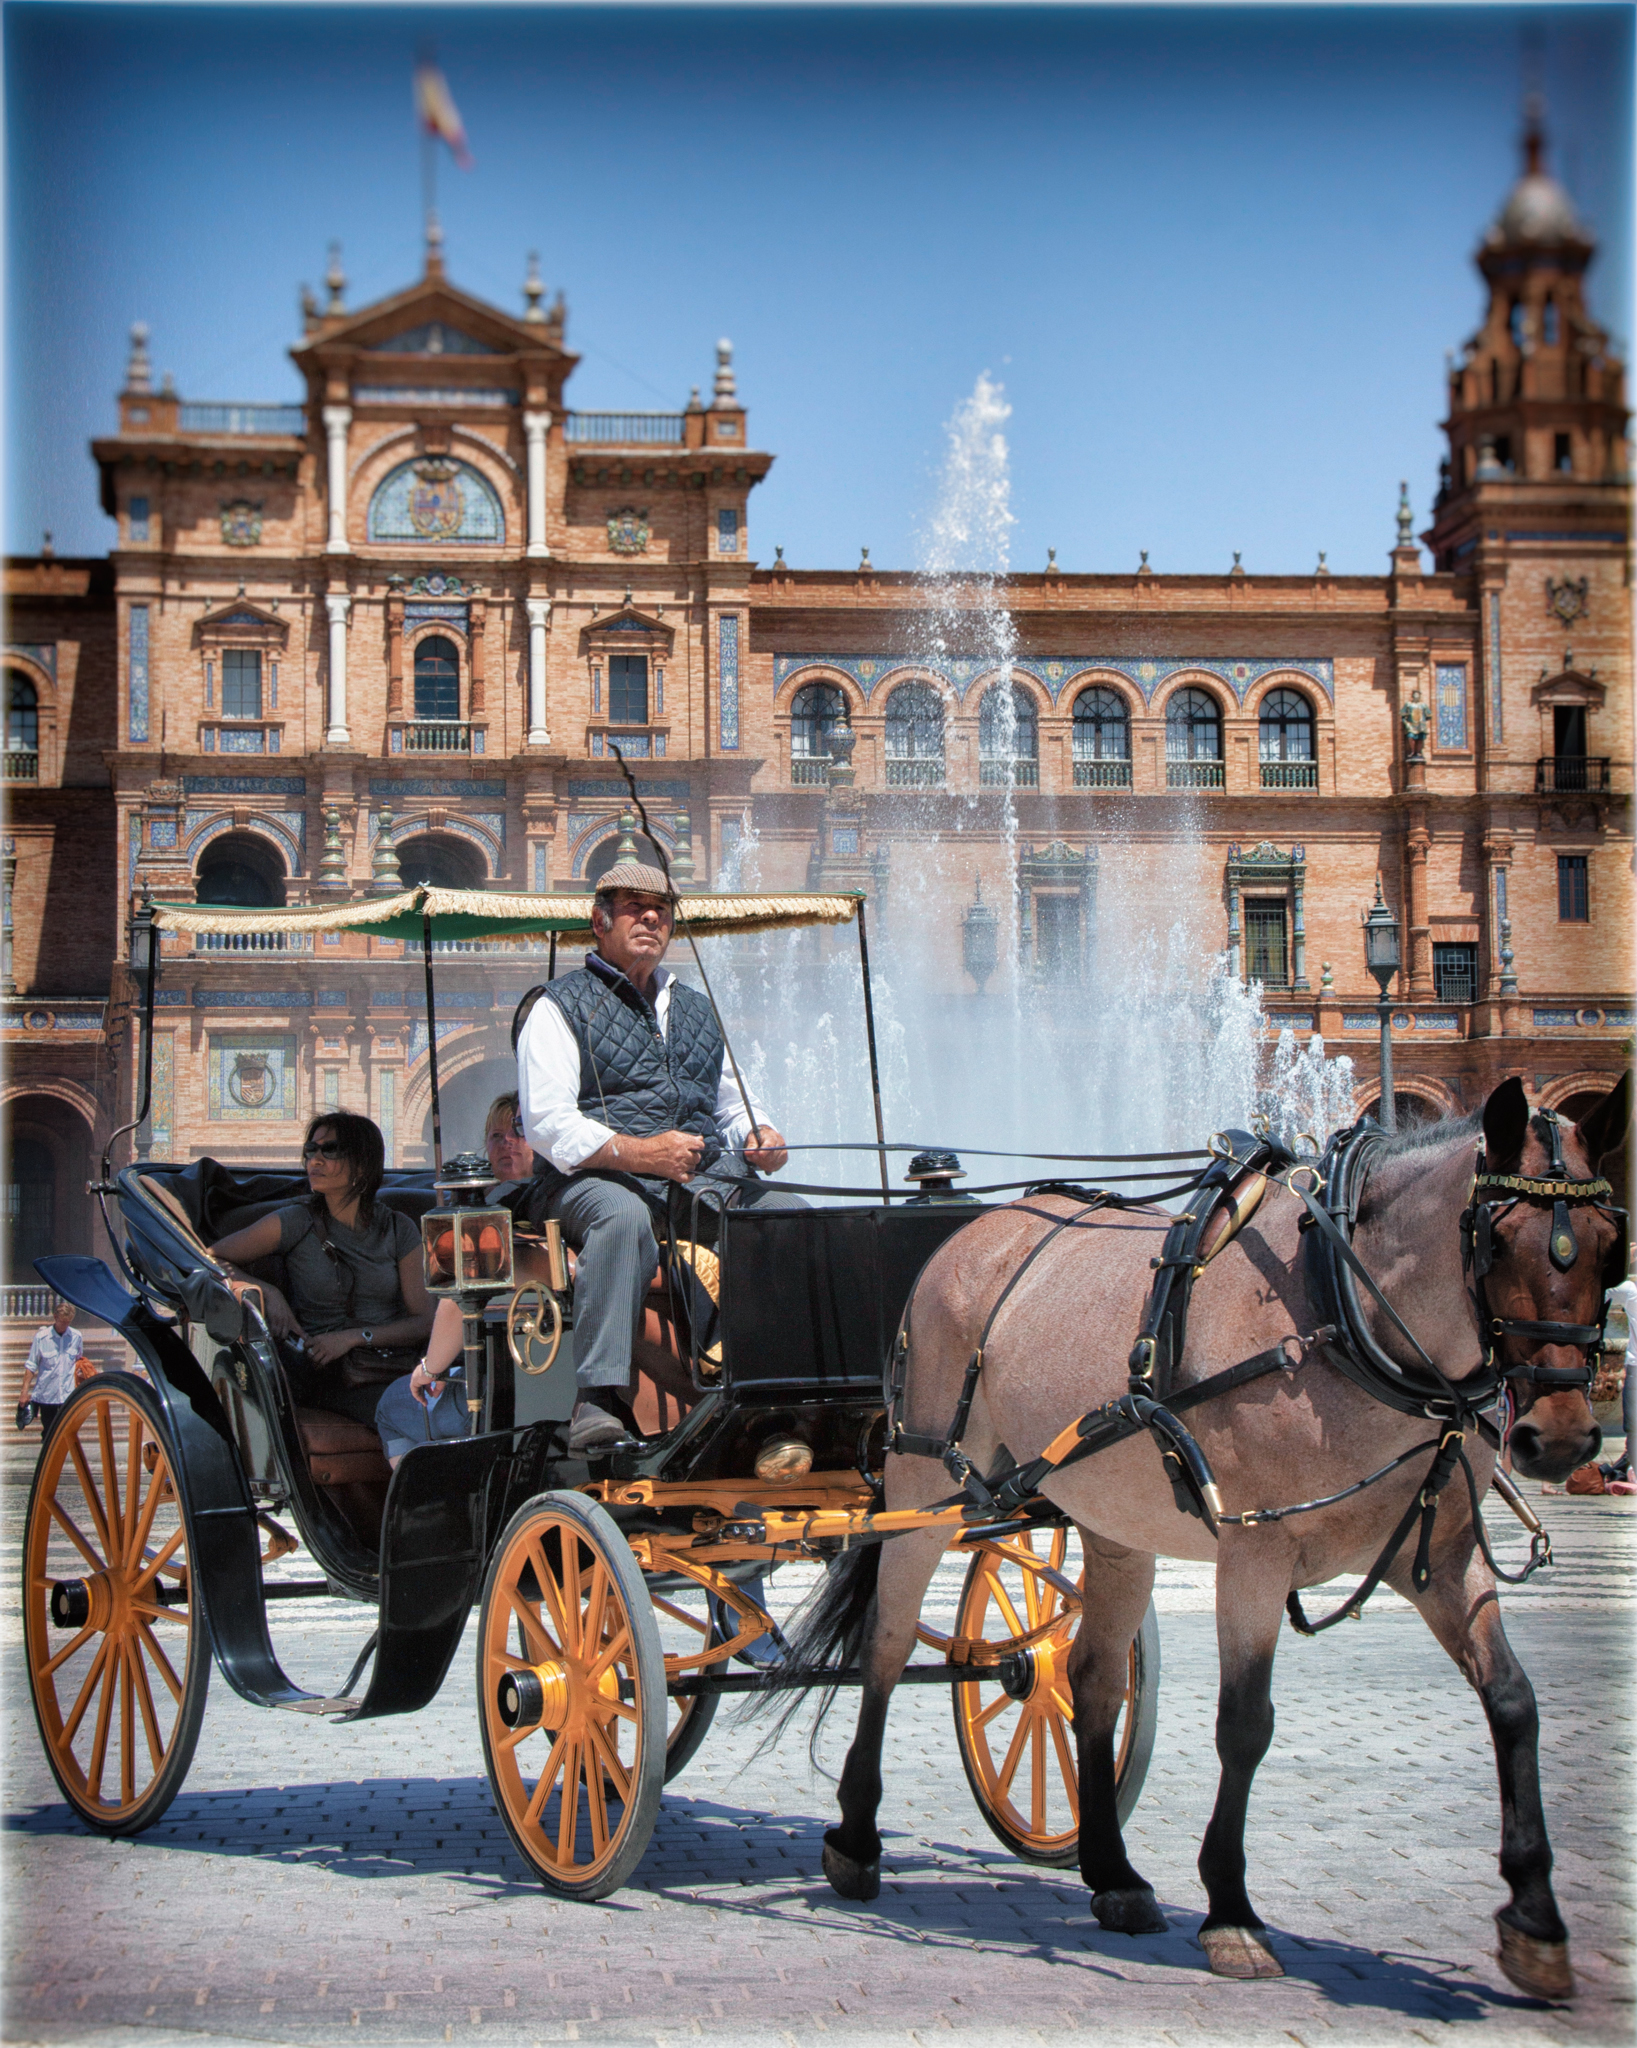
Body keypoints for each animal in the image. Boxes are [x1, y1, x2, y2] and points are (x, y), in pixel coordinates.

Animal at [790, 1081, 1622, 1990]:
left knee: (1088, 1680)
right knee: (887, 1642)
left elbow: (1513, 1702)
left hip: (1110, 1522)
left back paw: (1111, 1873)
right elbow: (1244, 1723)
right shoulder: (1255, 1551)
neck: (1342, 1313)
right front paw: (1230, 1911)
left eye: (1609, 1245)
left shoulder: (1436, 1553)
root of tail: (974, 1232)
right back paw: (855, 1839)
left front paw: (1534, 1918)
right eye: (1496, 1240)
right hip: (923, 1486)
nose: (1562, 1438)